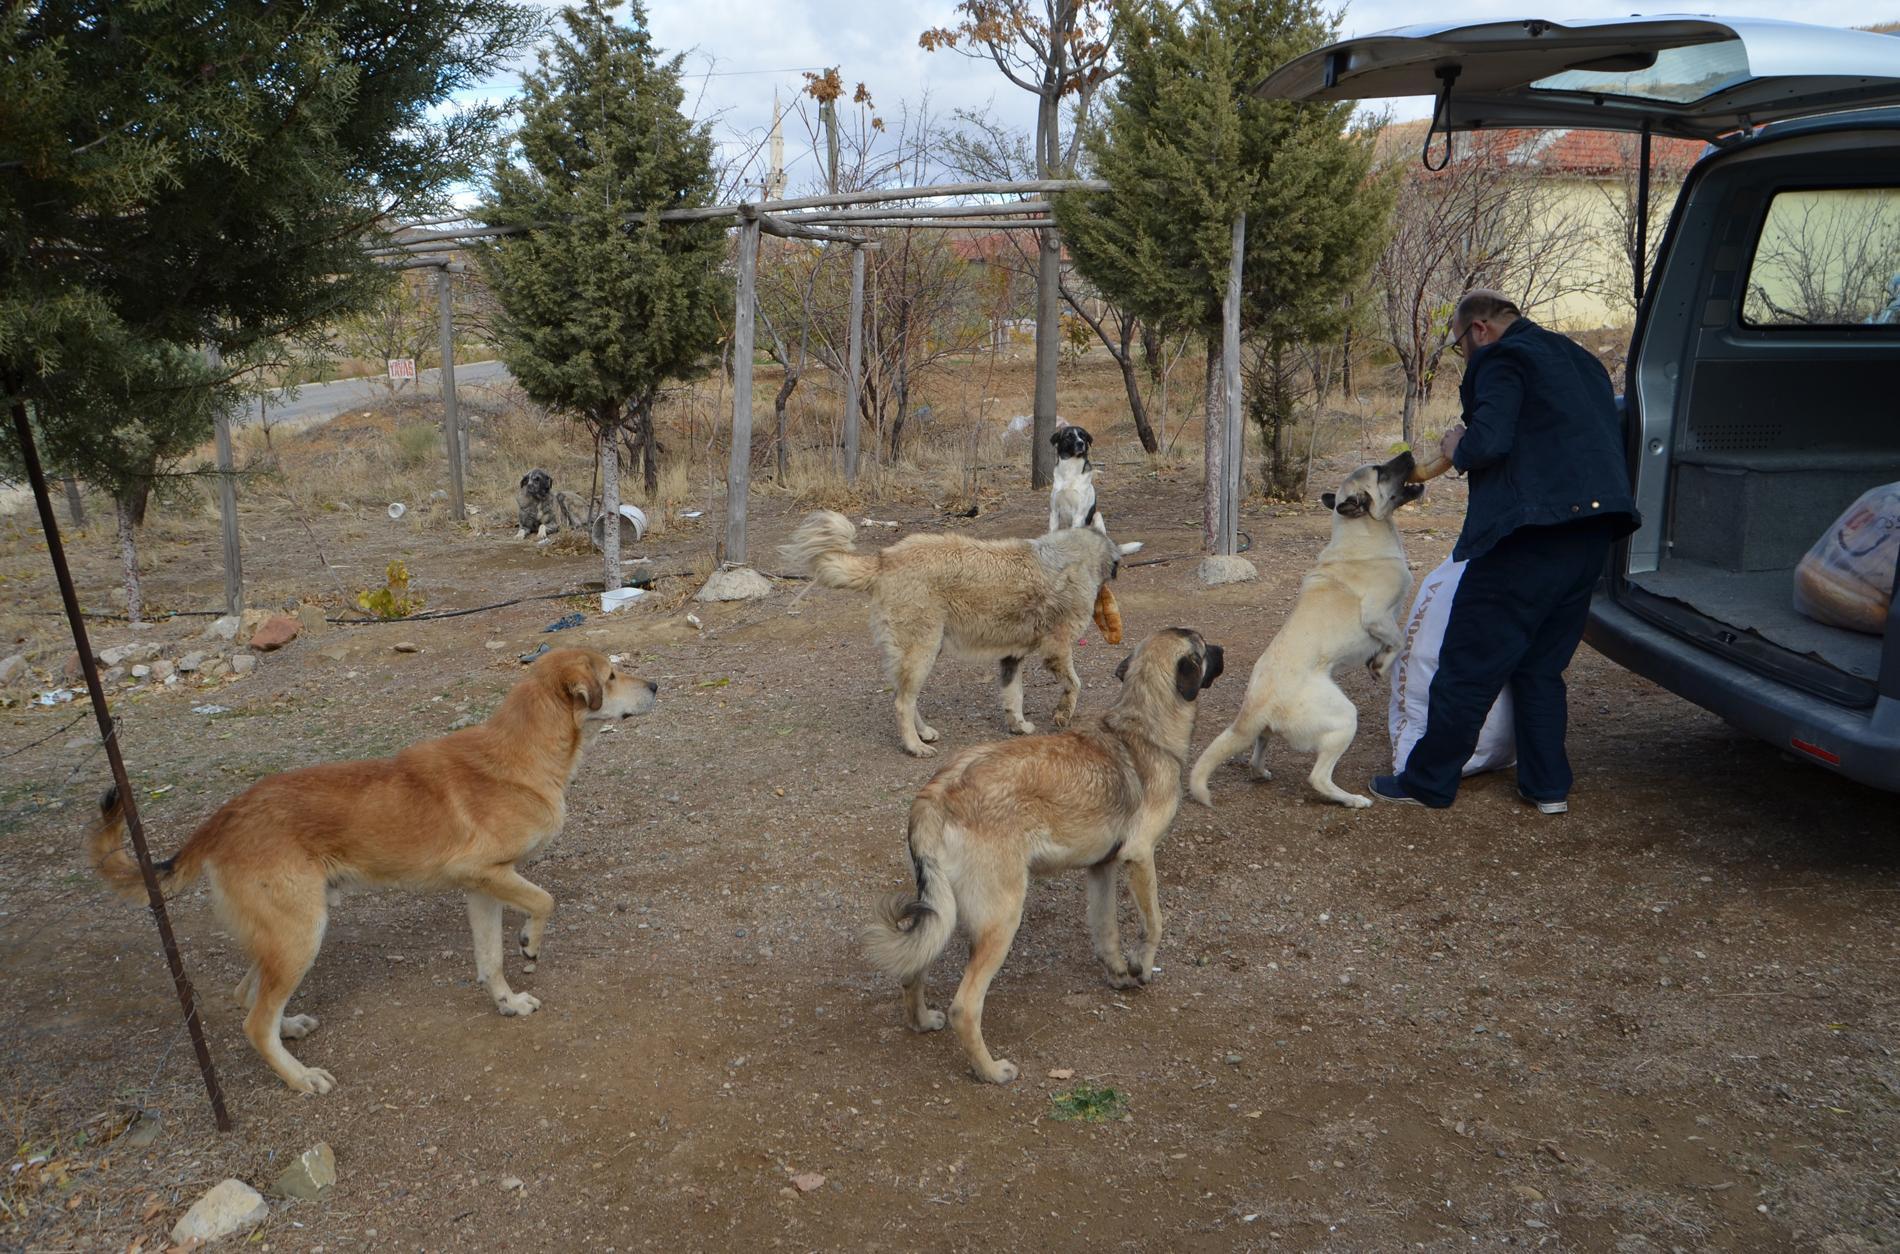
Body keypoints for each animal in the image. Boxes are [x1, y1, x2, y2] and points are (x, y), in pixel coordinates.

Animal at [85, 649, 657, 1094]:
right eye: (611, 675)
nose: (654, 685)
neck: (524, 753)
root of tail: (222, 818)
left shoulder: (483, 887)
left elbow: (489, 959)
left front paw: (507, 1002)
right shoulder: (489, 874)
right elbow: (544, 902)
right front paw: (531, 946)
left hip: (284, 934)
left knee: (249, 997)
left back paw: (290, 1029)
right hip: (302, 933)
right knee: (253, 1021)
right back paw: (300, 1077)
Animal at [779, 505, 1117, 756]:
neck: (1075, 553)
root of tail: (884, 559)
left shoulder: (1011, 658)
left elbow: (1014, 697)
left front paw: (1018, 727)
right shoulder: (1057, 650)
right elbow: (1075, 684)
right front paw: (1062, 714)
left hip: (920, 652)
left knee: (903, 696)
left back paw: (924, 734)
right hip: (922, 651)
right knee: (902, 703)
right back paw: (914, 747)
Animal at [858, 630, 1223, 1079]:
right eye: (1204, 648)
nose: (1223, 651)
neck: (1142, 726)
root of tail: (937, 794)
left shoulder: (1101, 870)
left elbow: (1106, 931)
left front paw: (1119, 973)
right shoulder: (1139, 857)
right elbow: (1153, 924)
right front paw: (1141, 968)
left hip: (942, 912)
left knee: (913, 971)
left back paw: (923, 1021)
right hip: (1002, 918)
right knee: (965, 1007)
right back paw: (991, 1071)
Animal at [1185, 456, 1428, 809]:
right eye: (1380, 471)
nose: (1408, 454)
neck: (1361, 534)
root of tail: (1255, 705)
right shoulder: (1378, 617)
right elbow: (1395, 640)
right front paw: (1380, 665)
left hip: (1271, 731)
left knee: (1259, 749)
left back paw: (1260, 771)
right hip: (1345, 719)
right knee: (1318, 778)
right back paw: (1352, 800)